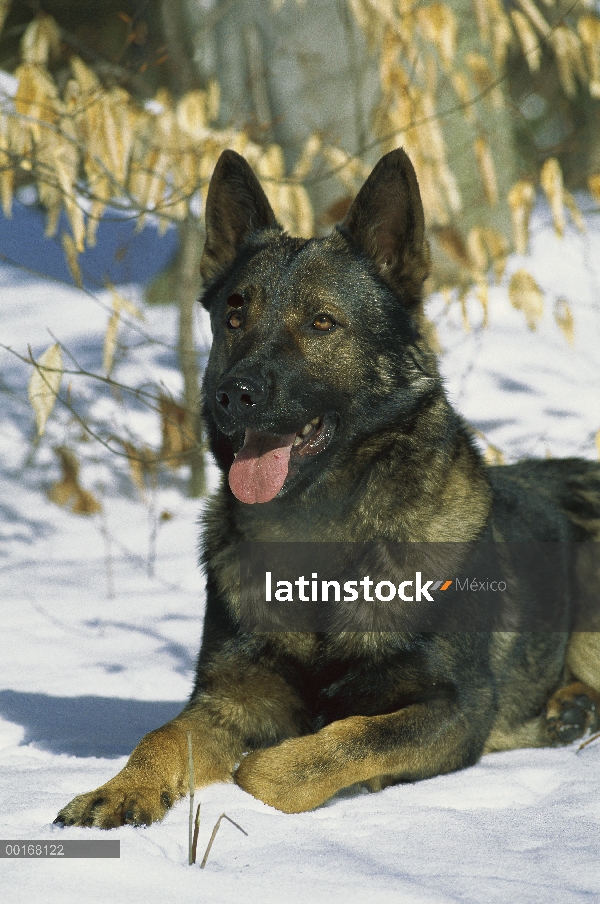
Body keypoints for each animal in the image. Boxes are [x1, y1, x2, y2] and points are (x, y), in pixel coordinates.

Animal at [56, 147, 600, 828]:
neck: (319, 538)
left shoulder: (456, 708)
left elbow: (326, 747)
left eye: (321, 322)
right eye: (235, 313)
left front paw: (278, 770)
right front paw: (120, 789)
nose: (234, 394)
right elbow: (163, 736)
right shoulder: (226, 697)